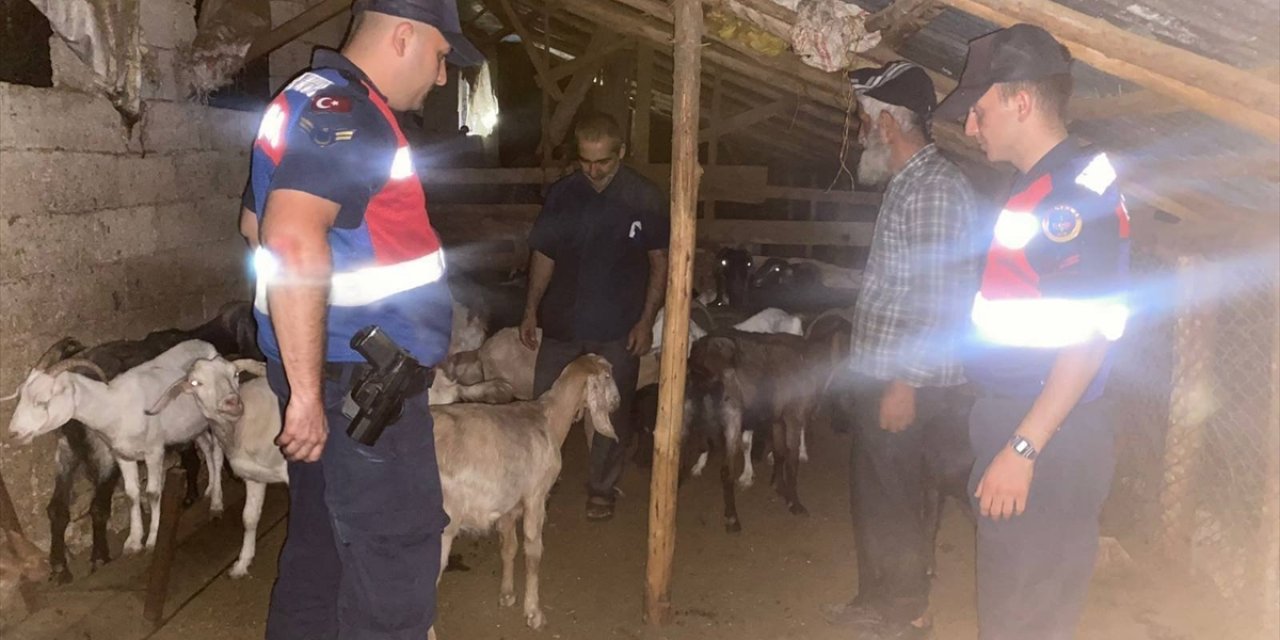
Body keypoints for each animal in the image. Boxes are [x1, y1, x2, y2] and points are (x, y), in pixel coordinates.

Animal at [6, 340, 221, 555]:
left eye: (42, 401)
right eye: (20, 397)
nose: (13, 433)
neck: (115, 405)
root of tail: (207, 347)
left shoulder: (153, 451)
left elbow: (152, 493)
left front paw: (152, 540)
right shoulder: (123, 456)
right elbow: (131, 494)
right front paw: (133, 542)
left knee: (217, 455)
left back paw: (216, 503)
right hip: (192, 427)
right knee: (207, 447)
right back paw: (209, 490)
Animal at [430, 355, 619, 634]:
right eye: (607, 376)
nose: (617, 402)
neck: (549, 419)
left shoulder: (509, 505)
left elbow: (509, 548)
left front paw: (507, 594)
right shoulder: (536, 496)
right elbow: (533, 552)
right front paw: (534, 613)